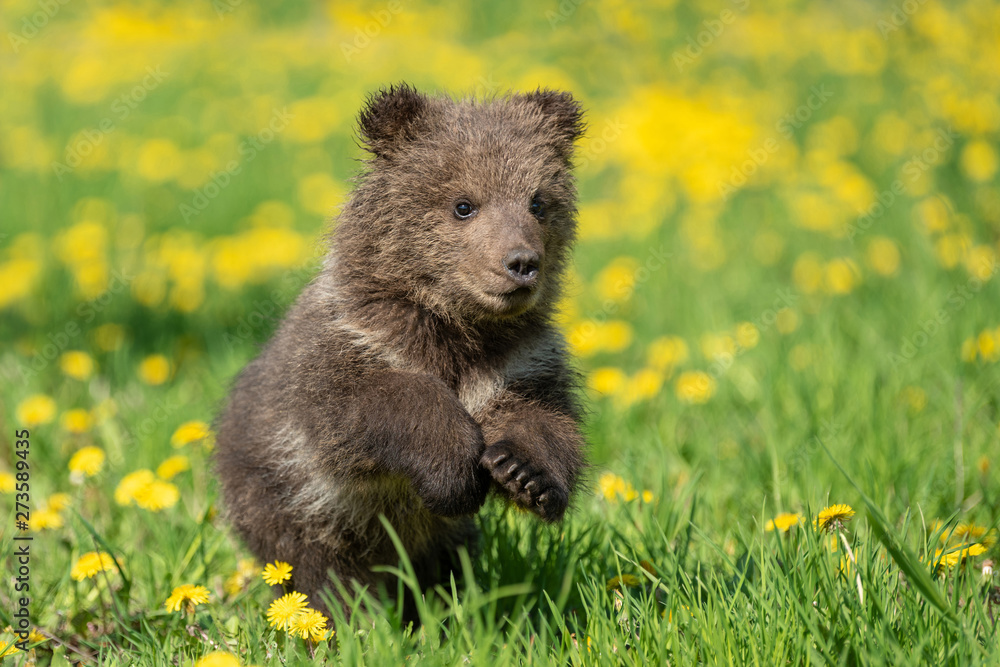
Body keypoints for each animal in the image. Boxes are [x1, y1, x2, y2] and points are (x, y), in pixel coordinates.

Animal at [213, 83, 588, 618]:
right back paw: (356, 618)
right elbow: (376, 405)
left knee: (445, 564)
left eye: (537, 202)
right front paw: (454, 471)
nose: (521, 262)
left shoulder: (521, 361)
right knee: (317, 567)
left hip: (431, 539)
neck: (456, 327)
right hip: (283, 498)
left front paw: (526, 475)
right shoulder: (353, 347)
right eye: (463, 205)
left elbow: (548, 421)